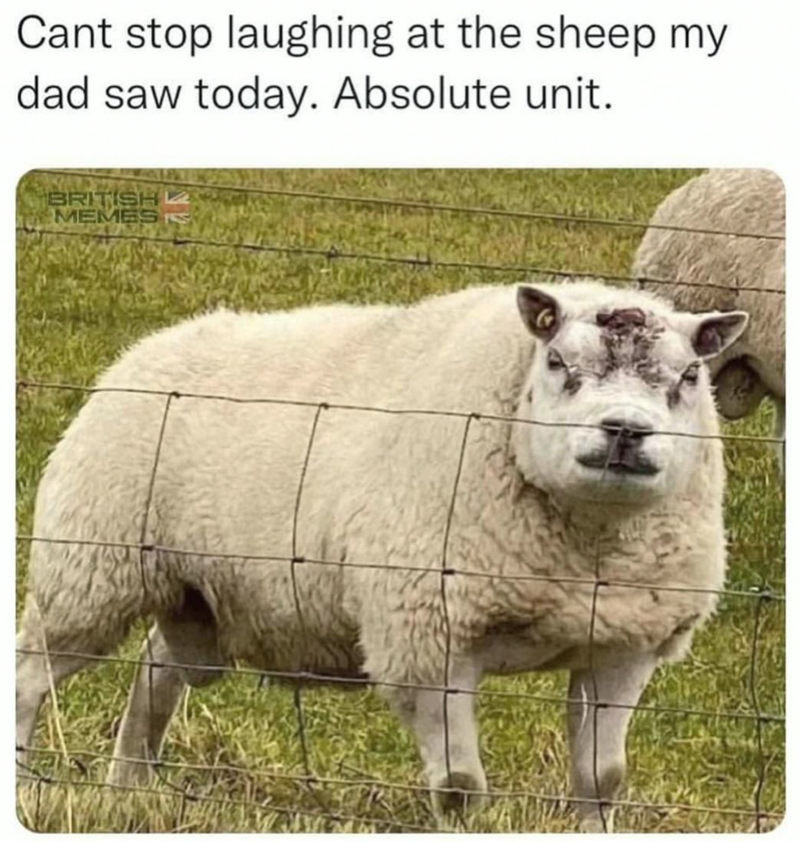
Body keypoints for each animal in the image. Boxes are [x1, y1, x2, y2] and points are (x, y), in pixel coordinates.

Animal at [16, 280, 748, 831]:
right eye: (558, 364)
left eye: (689, 376)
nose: (624, 430)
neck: (586, 548)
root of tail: (151, 347)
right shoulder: (427, 639)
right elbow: (459, 787)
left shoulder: (626, 643)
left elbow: (603, 779)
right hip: (88, 569)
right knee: (30, 673)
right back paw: (28, 780)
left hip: (195, 593)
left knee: (154, 673)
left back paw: (128, 789)